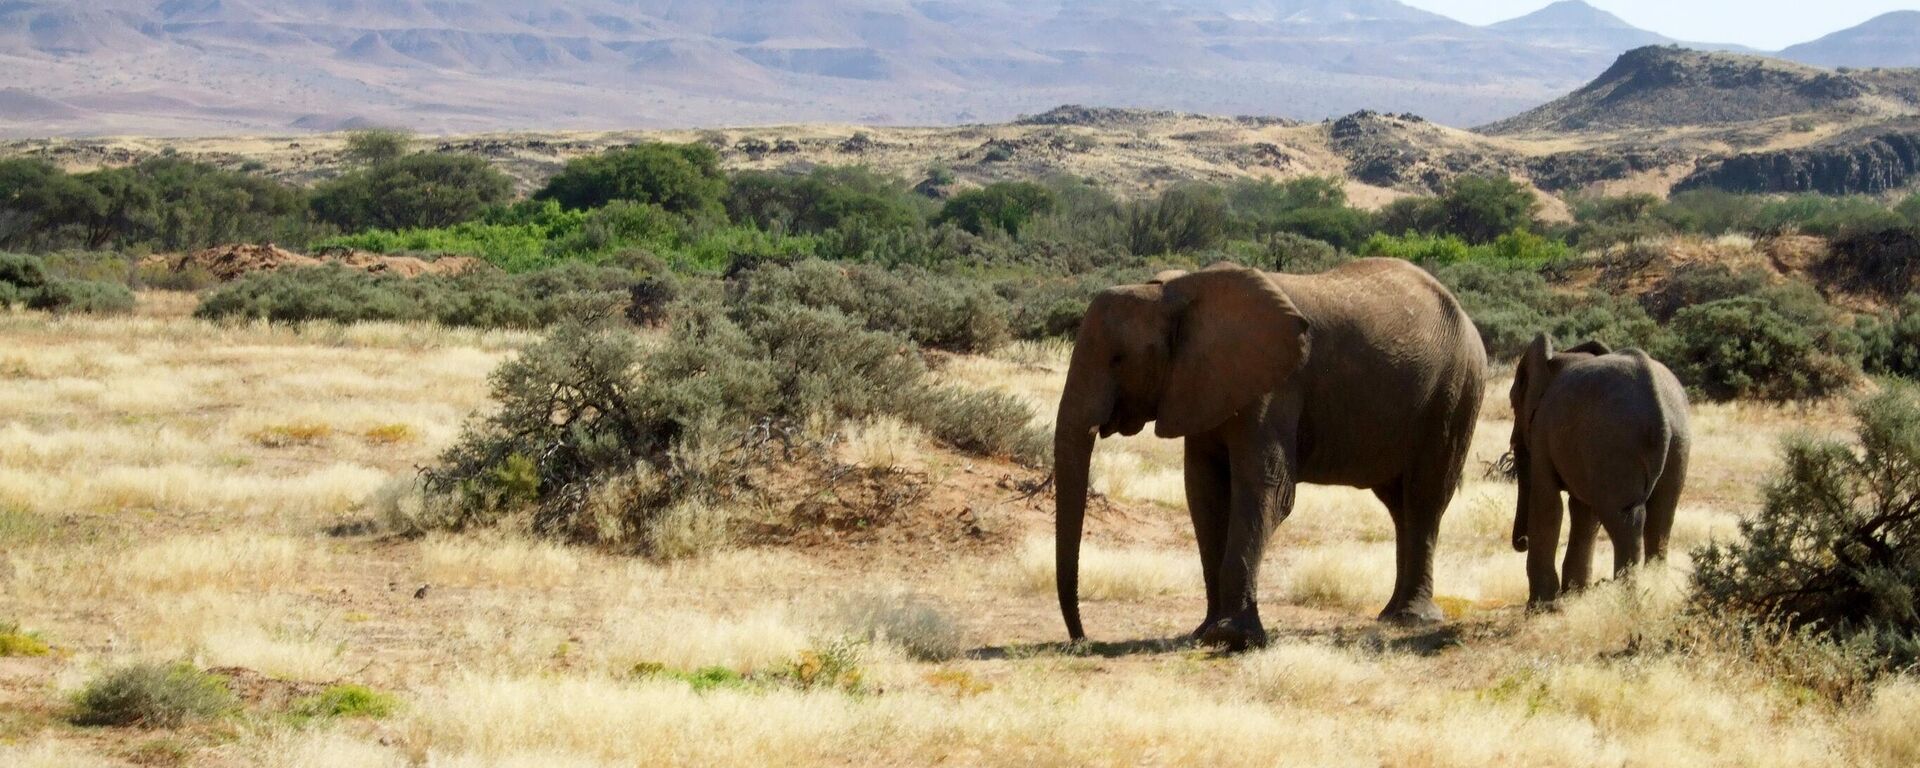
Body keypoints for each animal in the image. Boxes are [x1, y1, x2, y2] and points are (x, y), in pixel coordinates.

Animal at [1052, 257, 1482, 648]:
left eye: (1118, 359)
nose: (1082, 640)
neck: (1174, 293)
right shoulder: (1203, 386)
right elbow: (1204, 493)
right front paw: (1206, 633)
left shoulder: (1273, 387)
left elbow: (1266, 491)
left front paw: (1234, 639)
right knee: (1399, 506)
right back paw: (1391, 615)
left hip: (1455, 393)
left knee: (1425, 497)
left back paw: (1411, 619)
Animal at [1505, 336, 1689, 606]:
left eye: (1513, 403)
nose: (1522, 542)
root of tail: (1661, 412)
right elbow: (1583, 512)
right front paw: (1574, 596)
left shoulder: (1542, 431)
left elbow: (1548, 504)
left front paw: (1542, 608)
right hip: (1677, 442)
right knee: (1661, 518)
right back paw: (1653, 596)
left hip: (1615, 442)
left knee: (1626, 521)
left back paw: (1628, 604)